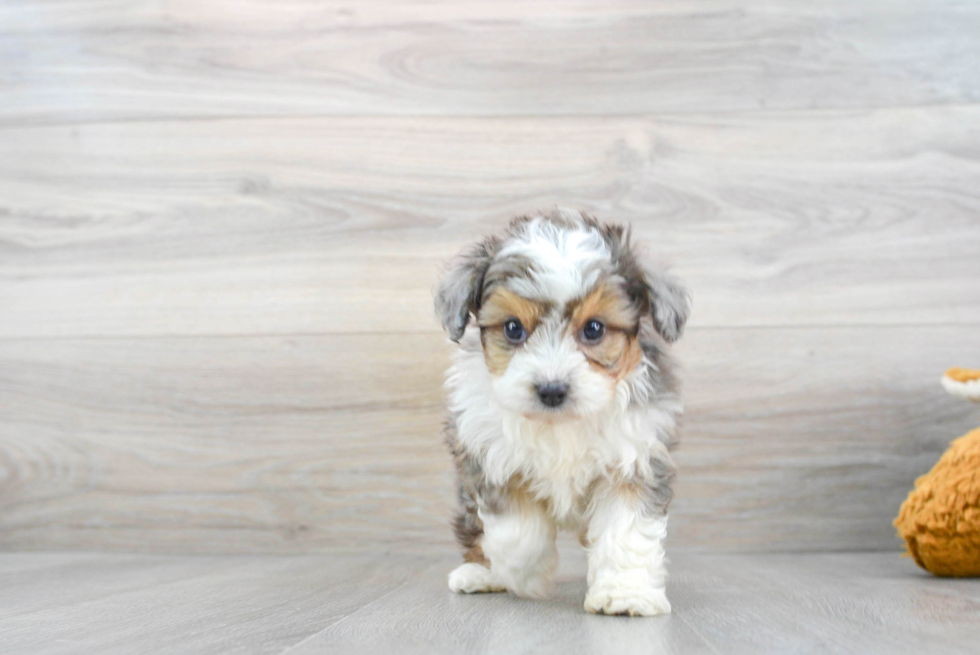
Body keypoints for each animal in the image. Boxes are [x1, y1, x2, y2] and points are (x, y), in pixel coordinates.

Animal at [436, 209, 688, 616]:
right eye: (512, 328)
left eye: (594, 329)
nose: (552, 389)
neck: (560, 425)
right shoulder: (490, 456)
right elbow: (517, 531)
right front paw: (523, 575)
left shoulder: (634, 460)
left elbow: (626, 531)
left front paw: (625, 592)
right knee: (474, 525)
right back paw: (481, 573)